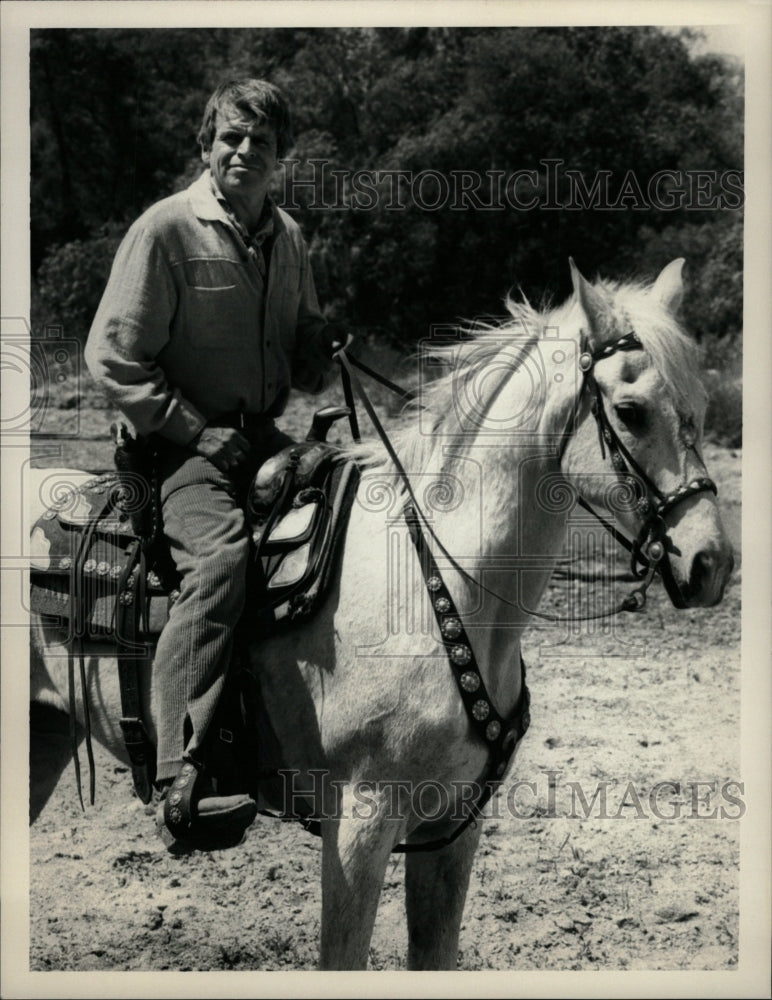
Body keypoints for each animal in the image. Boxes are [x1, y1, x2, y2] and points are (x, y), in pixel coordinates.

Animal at [28, 258, 728, 968]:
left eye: (699, 411)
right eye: (630, 412)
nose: (711, 564)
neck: (439, 587)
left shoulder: (453, 829)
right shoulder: (359, 827)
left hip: (47, 740)